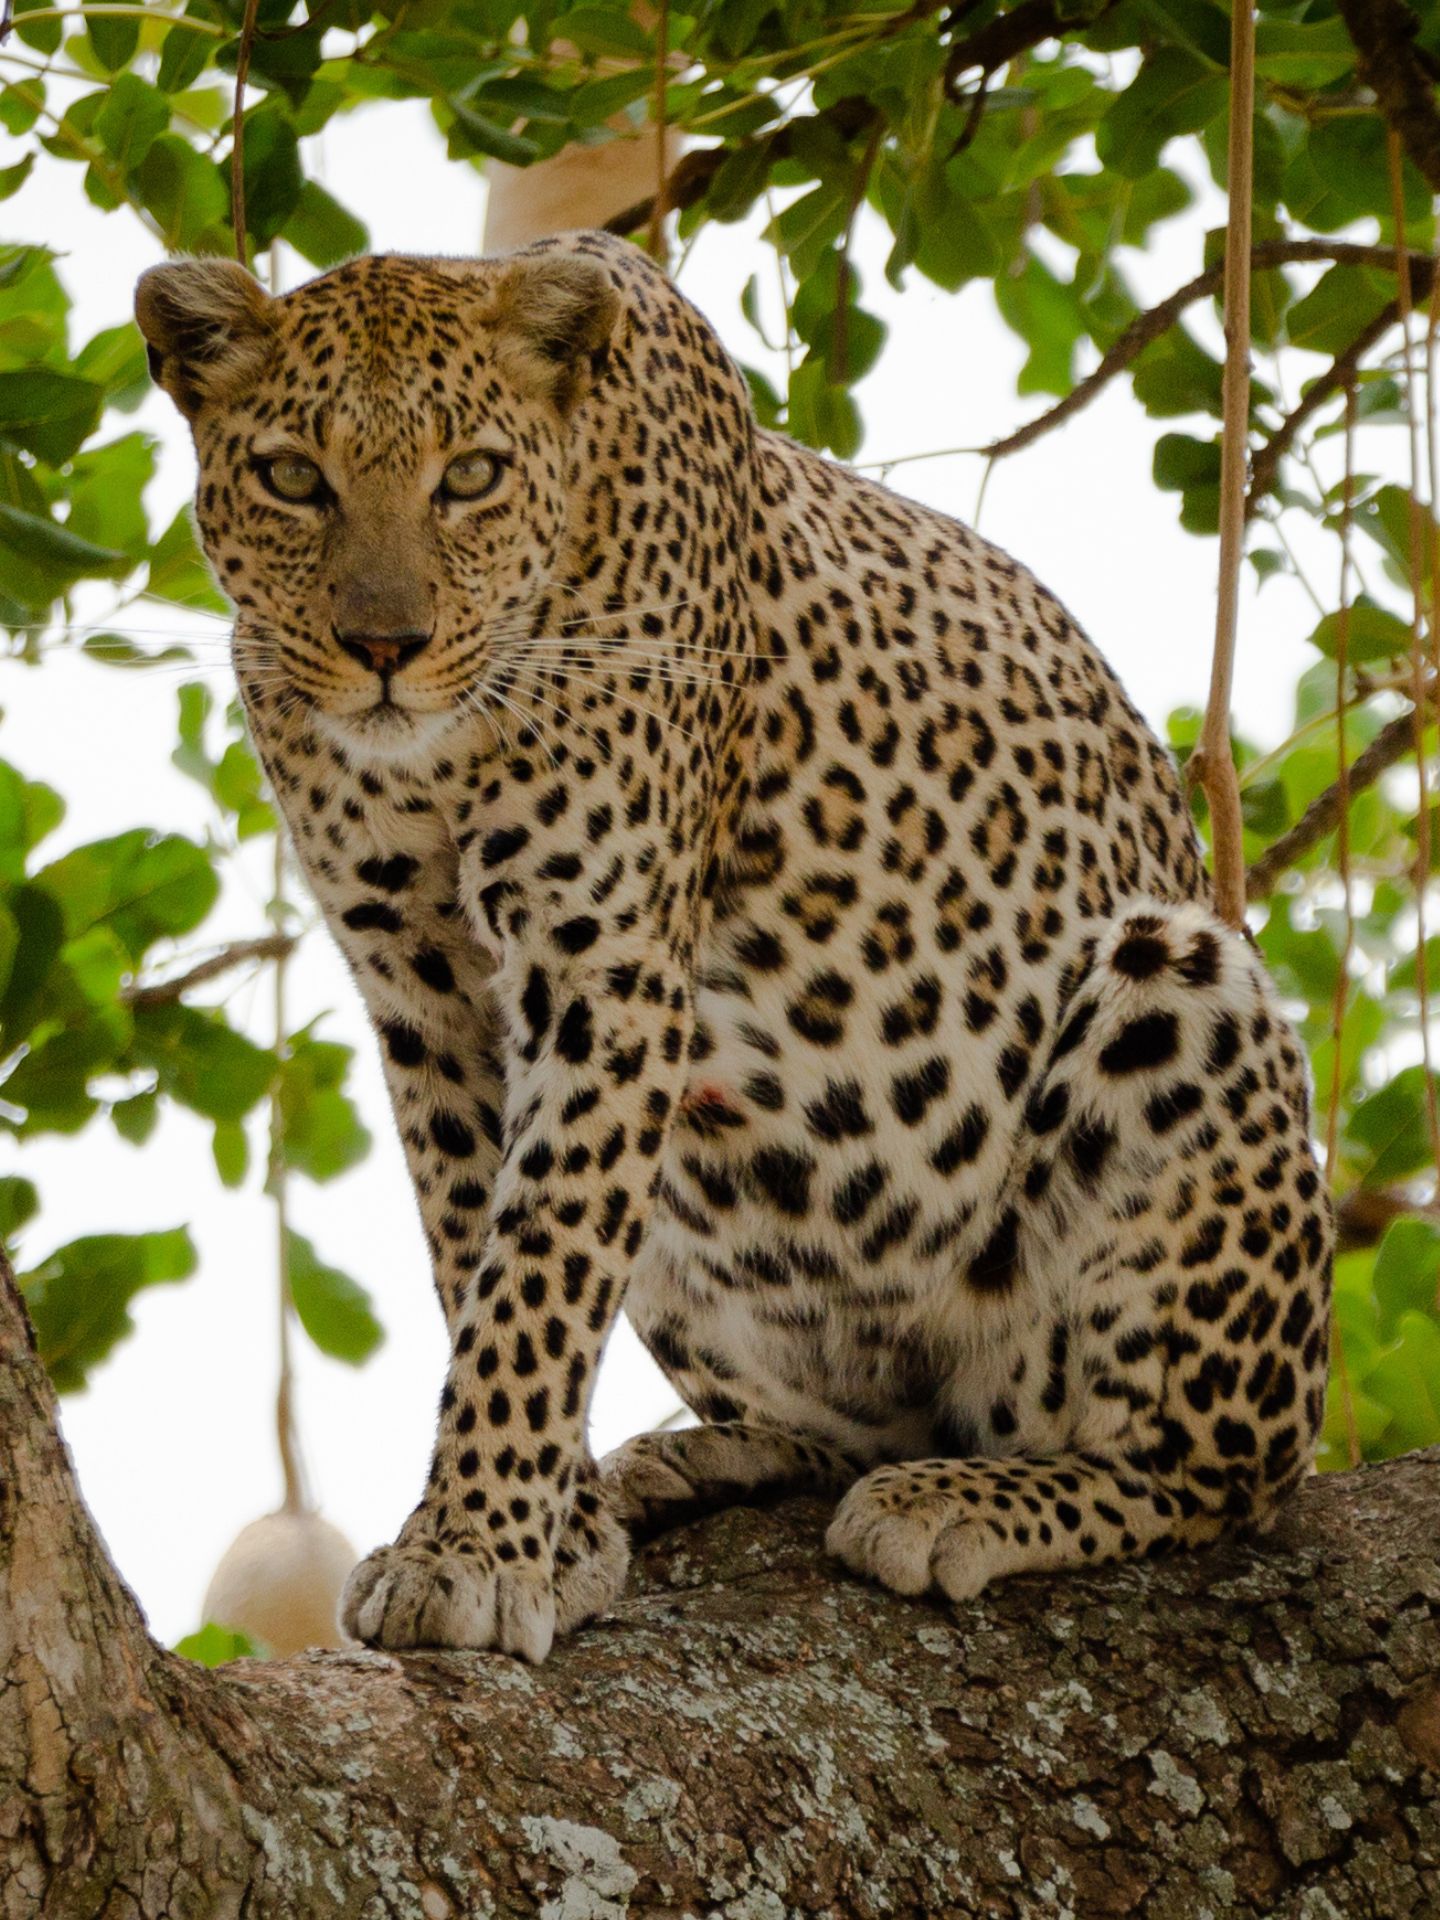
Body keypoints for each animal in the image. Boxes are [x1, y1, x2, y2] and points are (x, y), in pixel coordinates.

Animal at [141, 228, 1336, 1666]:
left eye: (469, 476)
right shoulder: (424, 992)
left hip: (1180, 992)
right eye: (292, 478)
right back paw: (700, 1462)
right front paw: (548, 1529)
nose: (385, 646)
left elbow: (539, 1262)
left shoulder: (601, 962)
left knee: (1216, 1476)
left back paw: (969, 1498)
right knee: (861, 1418)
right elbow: (477, 1247)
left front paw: (476, 1546)